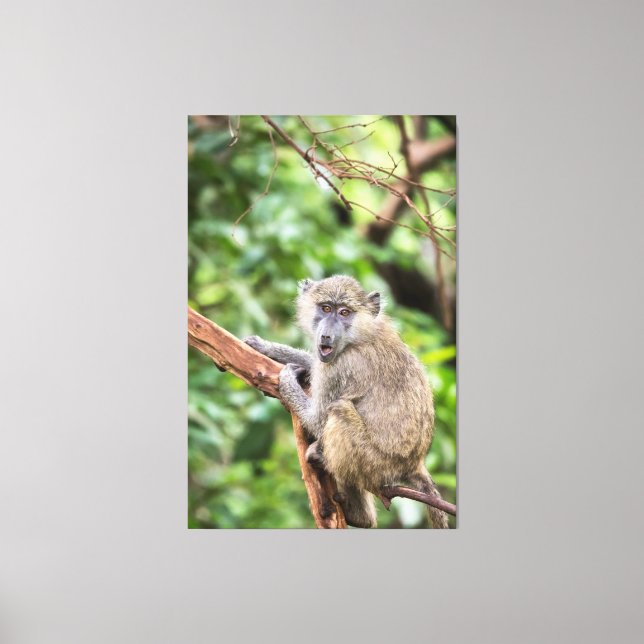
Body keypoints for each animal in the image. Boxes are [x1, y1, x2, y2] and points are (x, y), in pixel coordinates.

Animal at [244, 275, 450, 529]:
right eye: (326, 308)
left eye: (344, 312)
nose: (326, 336)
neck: (359, 335)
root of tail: (414, 463)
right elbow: (313, 363)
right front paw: (267, 347)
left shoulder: (340, 368)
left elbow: (318, 420)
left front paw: (286, 379)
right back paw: (361, 517)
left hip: (374, 464)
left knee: (339, 410)